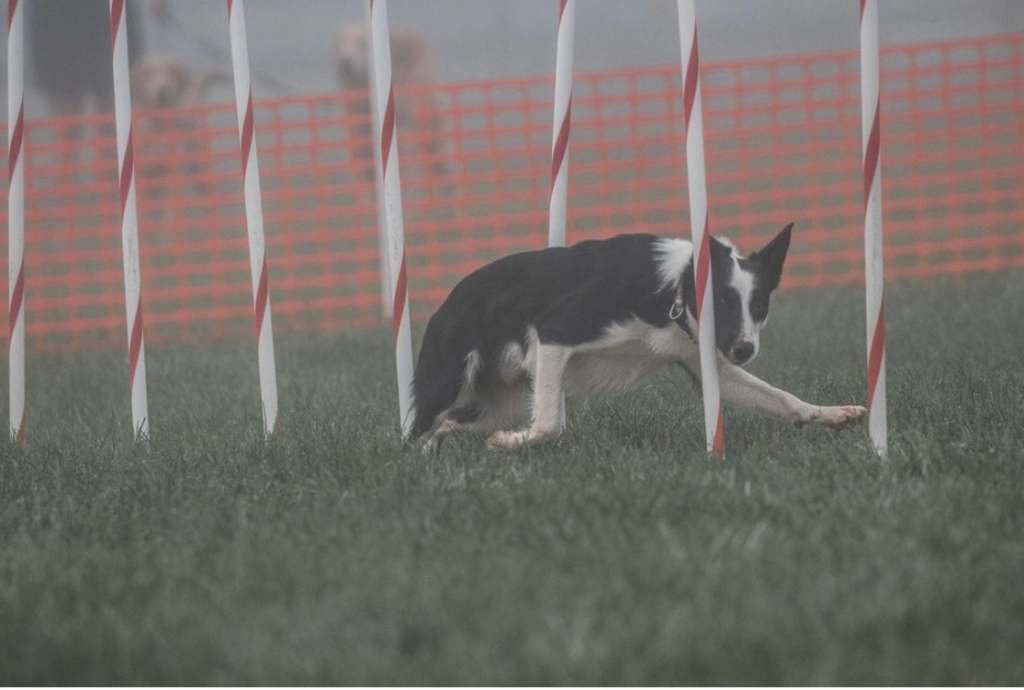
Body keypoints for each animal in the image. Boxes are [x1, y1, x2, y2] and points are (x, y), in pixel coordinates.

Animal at [409, 223, 867, 450]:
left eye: (758, 305)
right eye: (720, 301)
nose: (744, 348)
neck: (673, 291)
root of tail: (445, 301)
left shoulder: (703, 357)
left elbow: (782, 398)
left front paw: (834, 414)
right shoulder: (556, 333)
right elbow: (550, 424)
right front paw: (509, 445)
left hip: (501, 403)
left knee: (451, 424)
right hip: (448, 377)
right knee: (418, 428)